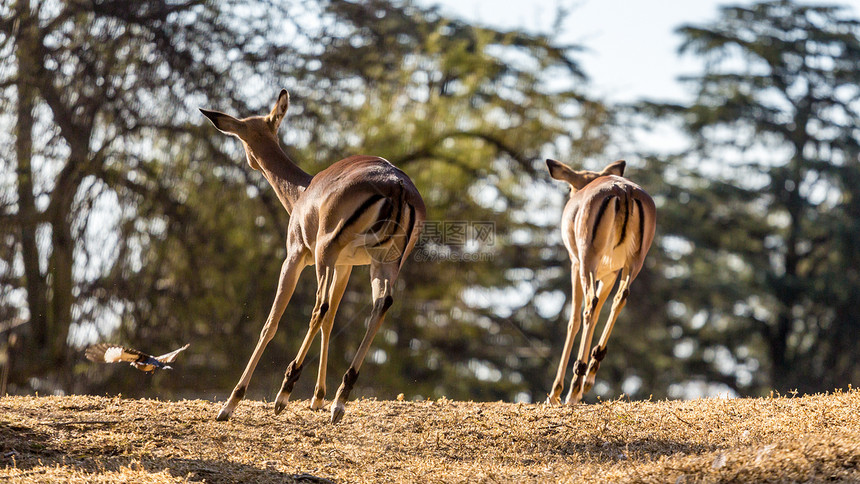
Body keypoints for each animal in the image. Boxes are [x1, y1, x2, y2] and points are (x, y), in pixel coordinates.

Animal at [202, 90, 430, 424]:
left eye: (243, 136)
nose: (251, 162)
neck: (301, 192)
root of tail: (396, 185)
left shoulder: (295, 256)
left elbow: (271, 322)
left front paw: (230, 403)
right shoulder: (346, 265)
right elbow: (332, 320)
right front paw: (318, 398)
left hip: (325, 254)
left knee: (318, 307)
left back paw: (284, 393)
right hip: (382, 263)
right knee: (380, 305)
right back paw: (339, 400)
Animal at [548, 159, 656, 404]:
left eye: (570, 188)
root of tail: (623, 190)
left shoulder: (576, 266)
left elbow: (573, 321)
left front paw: (555, 392)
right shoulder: (609, 274)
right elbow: (599, 312)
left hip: (589, 262)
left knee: (589, 306)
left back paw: (575, 386)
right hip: (633, 264)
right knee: (620, 299)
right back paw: (590, 374)